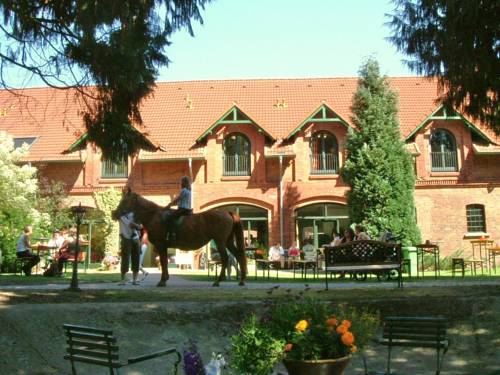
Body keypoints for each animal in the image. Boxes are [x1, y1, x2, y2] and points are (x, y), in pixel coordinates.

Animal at [112, 189, 247, 286]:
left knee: (225, 258)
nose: (114, 213)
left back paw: (218, 281)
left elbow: (163, 262)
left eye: (124, 201)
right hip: (228, 241)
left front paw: (162, 281)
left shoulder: (161, 245)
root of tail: (227, 212)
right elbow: (164, 262)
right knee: (238, 255)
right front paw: (164, 279)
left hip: (220, 241)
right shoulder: (163, 247)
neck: (154, 216)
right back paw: (241, 280)